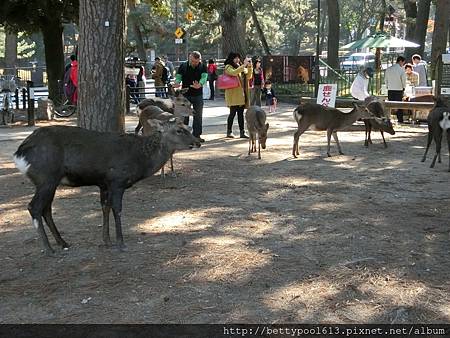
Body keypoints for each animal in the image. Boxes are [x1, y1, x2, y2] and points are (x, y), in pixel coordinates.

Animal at [13, 123, 200, 255]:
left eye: (188, 127)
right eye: (179, 130)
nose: (198, 141)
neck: (140, 161)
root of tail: (19, 154)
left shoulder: (104, 184)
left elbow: (105, 207)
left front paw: (106, 240)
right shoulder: (117, 180)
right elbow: (117, 209)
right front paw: (120, 243)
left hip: (50, 182)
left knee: (46, 209)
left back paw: (63, 243)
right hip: (46, 177)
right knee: (34, 206)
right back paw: (48, 249)